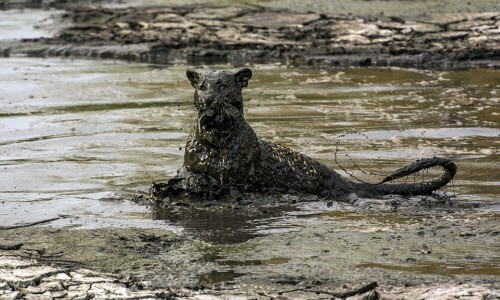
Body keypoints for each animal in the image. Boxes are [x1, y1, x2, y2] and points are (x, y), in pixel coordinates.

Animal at [151, 68, 458, 199]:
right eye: (202, 85)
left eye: (224, 85)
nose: (209, 100)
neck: (215, 143)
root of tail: (341, 179)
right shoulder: (191, 165)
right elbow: (186, 176)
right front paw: (164, 185)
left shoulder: (236, 179)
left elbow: (210, 183)